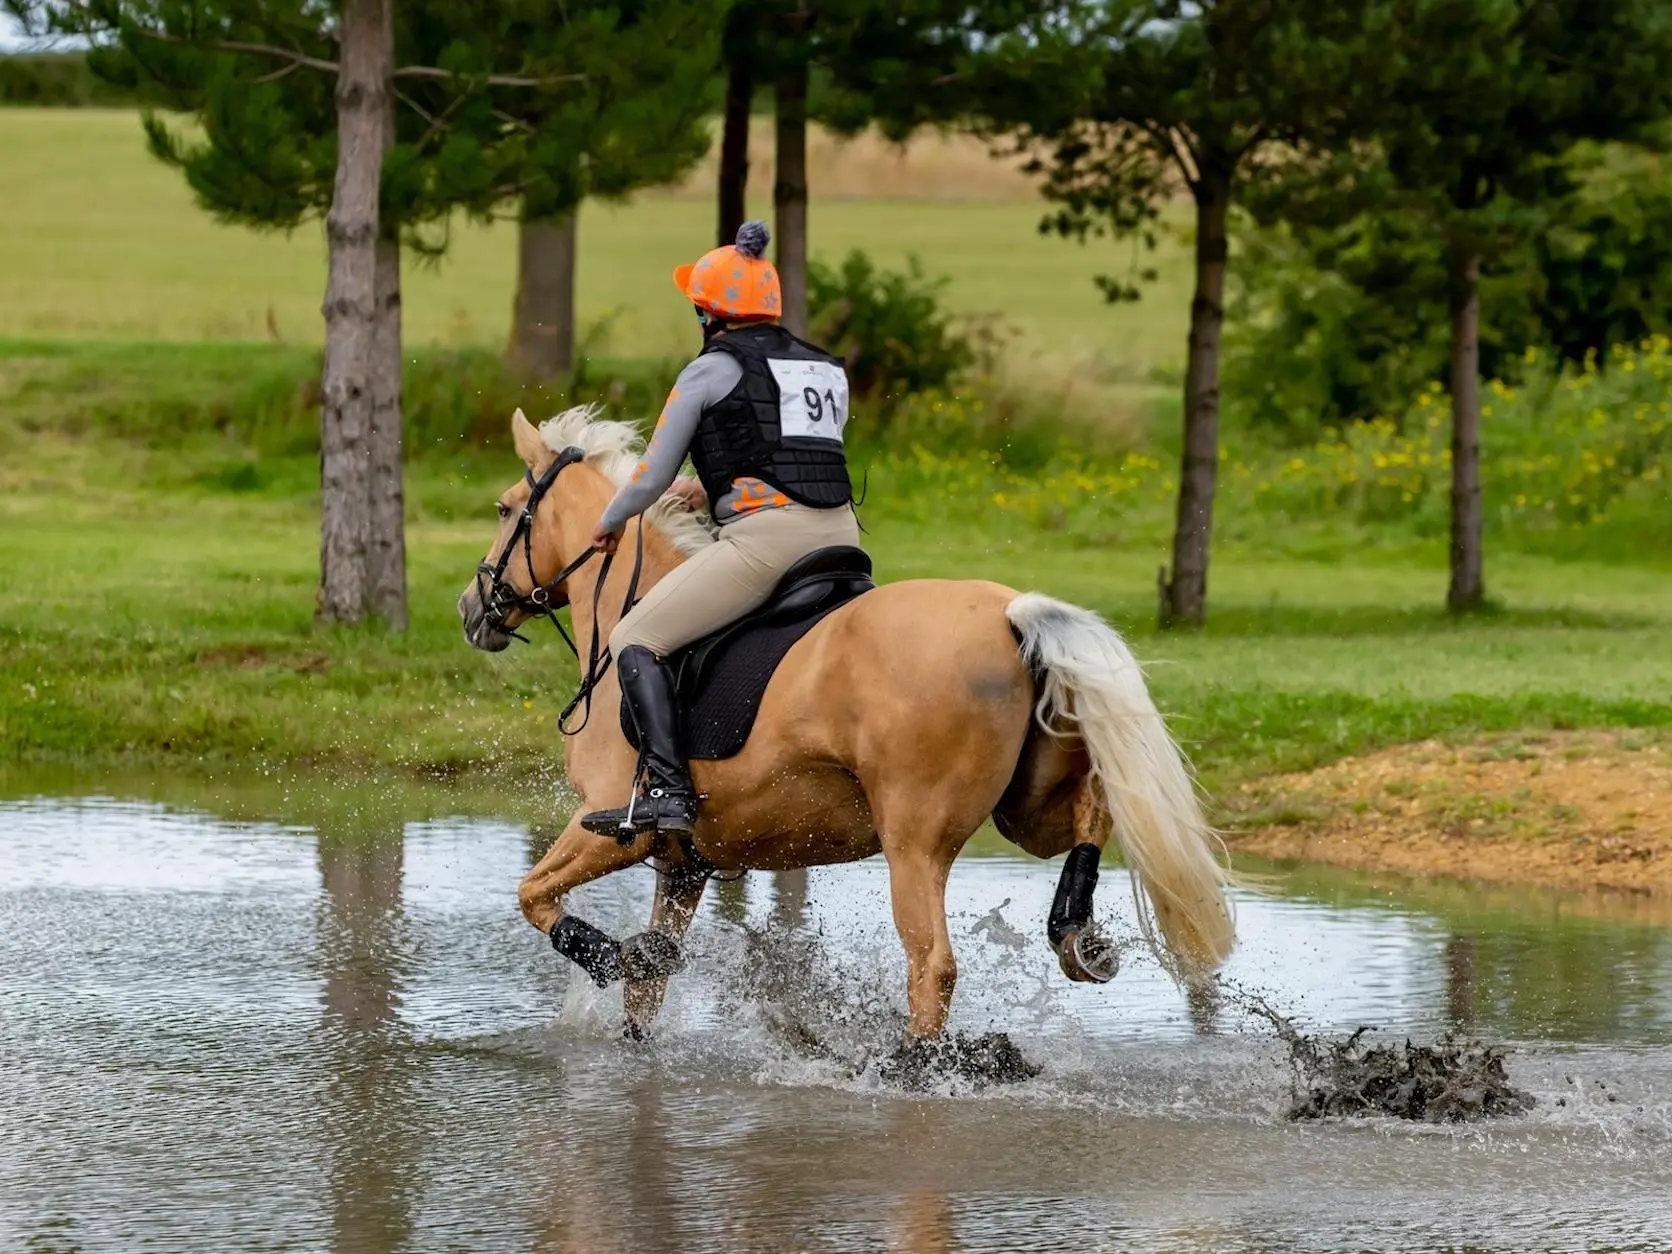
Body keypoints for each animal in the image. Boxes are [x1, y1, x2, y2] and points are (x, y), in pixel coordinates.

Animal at [458, 409, 1230, 1043]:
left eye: (504, 509)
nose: (472, 608)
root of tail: (1010, 613)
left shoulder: (612, 826)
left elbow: (533, 896)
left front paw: (615, 955)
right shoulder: (686, 865)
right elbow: (645, 995)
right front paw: (641, 979)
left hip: (914, 841)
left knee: (932, 965)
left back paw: (915, 1068)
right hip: (1025, 809)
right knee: (1091, 815)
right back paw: (1075, 932)